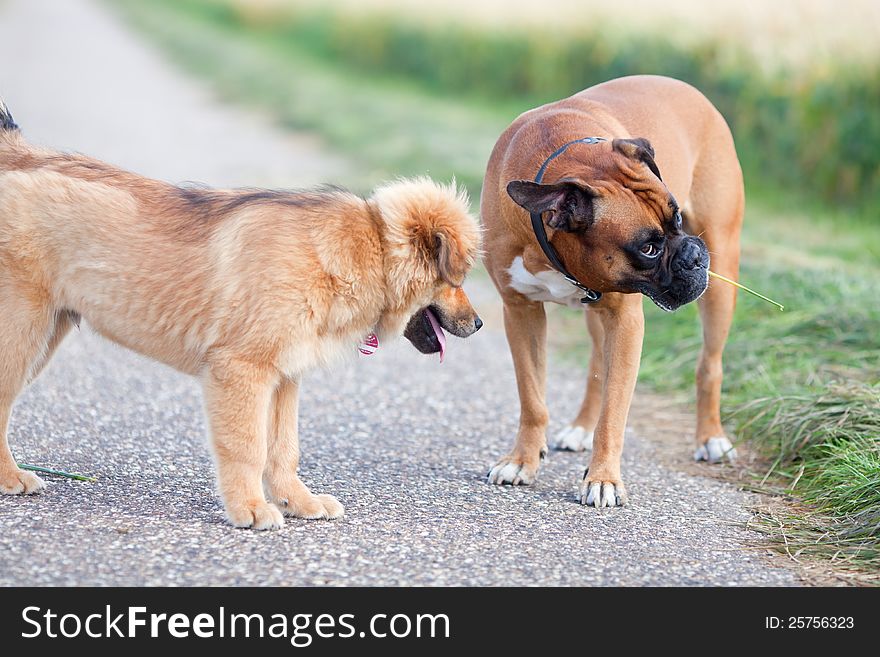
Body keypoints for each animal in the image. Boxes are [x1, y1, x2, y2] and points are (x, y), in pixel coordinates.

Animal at [482, 74, 744, 504]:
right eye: (648, 248)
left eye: (676, 218)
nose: (692, 255)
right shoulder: (520, 313)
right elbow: (533, 398)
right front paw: (522, 460)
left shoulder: (625, 321)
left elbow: (615, 408)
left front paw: (603, 478)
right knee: (596, 366)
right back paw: (580, 428)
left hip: (721, 276)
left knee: (710, 365)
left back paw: (711, 438)